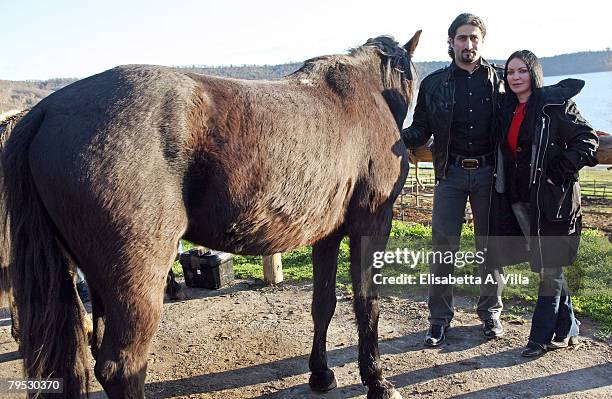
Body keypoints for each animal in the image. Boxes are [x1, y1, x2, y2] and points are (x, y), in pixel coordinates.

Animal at [0, 32, 420, 399]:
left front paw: (321, 374)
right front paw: (378, 381)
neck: (364, 98)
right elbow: (366, 302)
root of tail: (44, 111)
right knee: (120, 367)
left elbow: (324, 305)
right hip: (137, 281)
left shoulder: (327, 235)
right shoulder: (371, 225)